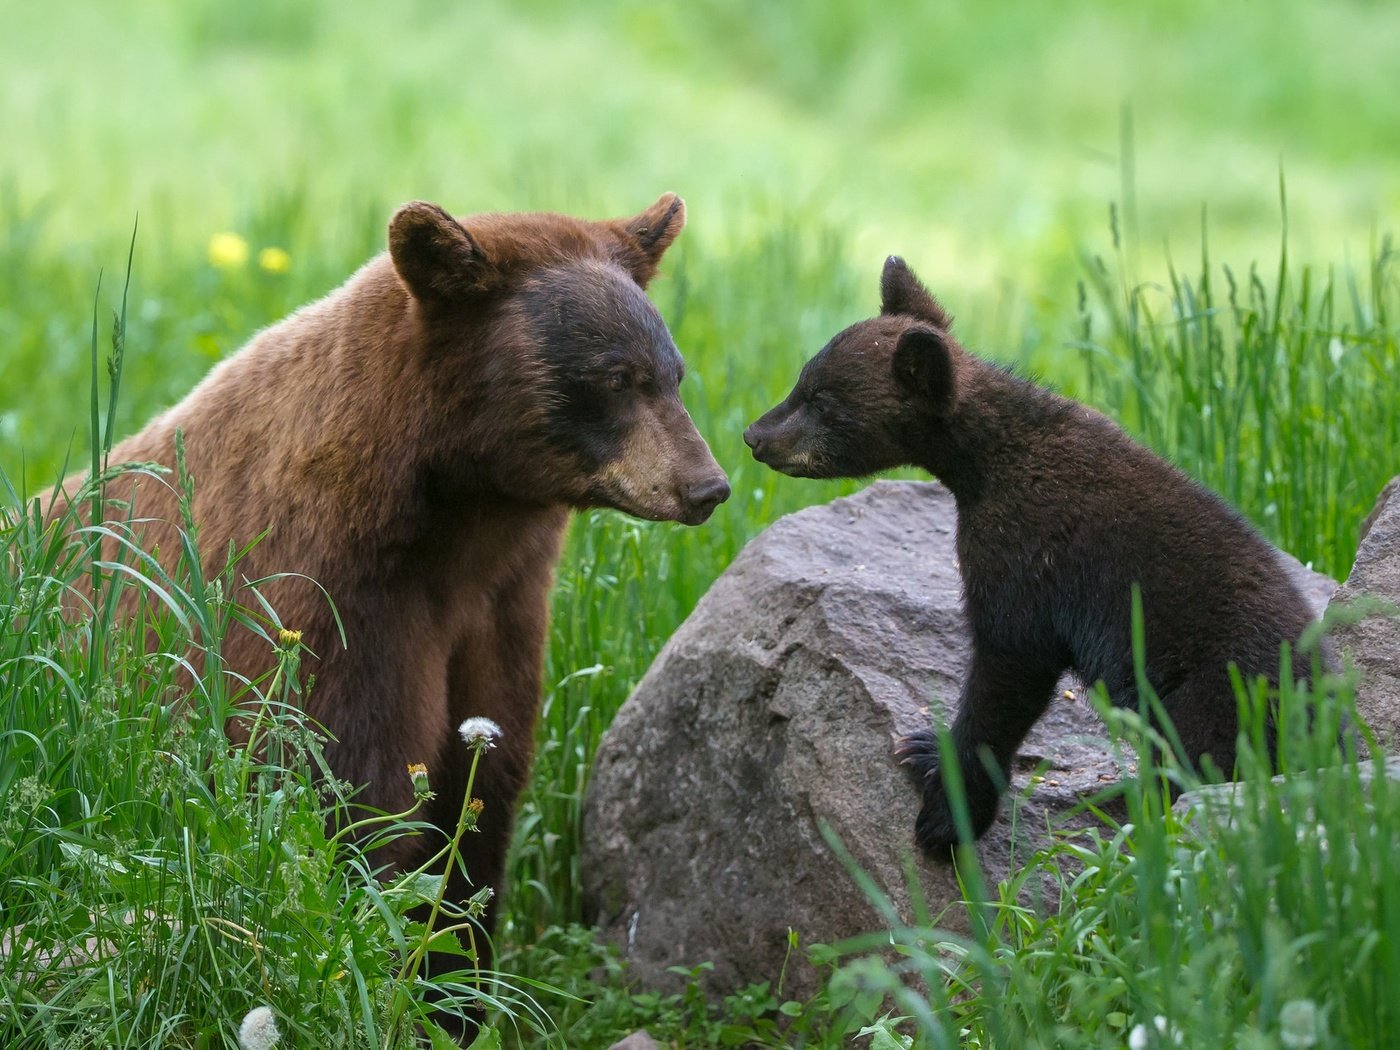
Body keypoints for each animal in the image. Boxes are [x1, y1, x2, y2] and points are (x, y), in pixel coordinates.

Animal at [60, 196, 728, 1030]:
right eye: (616, 378)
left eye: (673, 373)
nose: (707, 486)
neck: (456, 522)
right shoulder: (331, 606)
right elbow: (350, 790)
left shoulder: (499, 610)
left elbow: (480, 794)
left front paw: (456, 992)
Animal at [750, 259, 1316, 856]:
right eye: (802, 380)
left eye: (822, 402)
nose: (752, 435)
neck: (991, 459)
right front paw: (927, 748)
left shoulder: (1024, 551)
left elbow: (1008, 666)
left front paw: (948, 814)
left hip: (1216, 700)